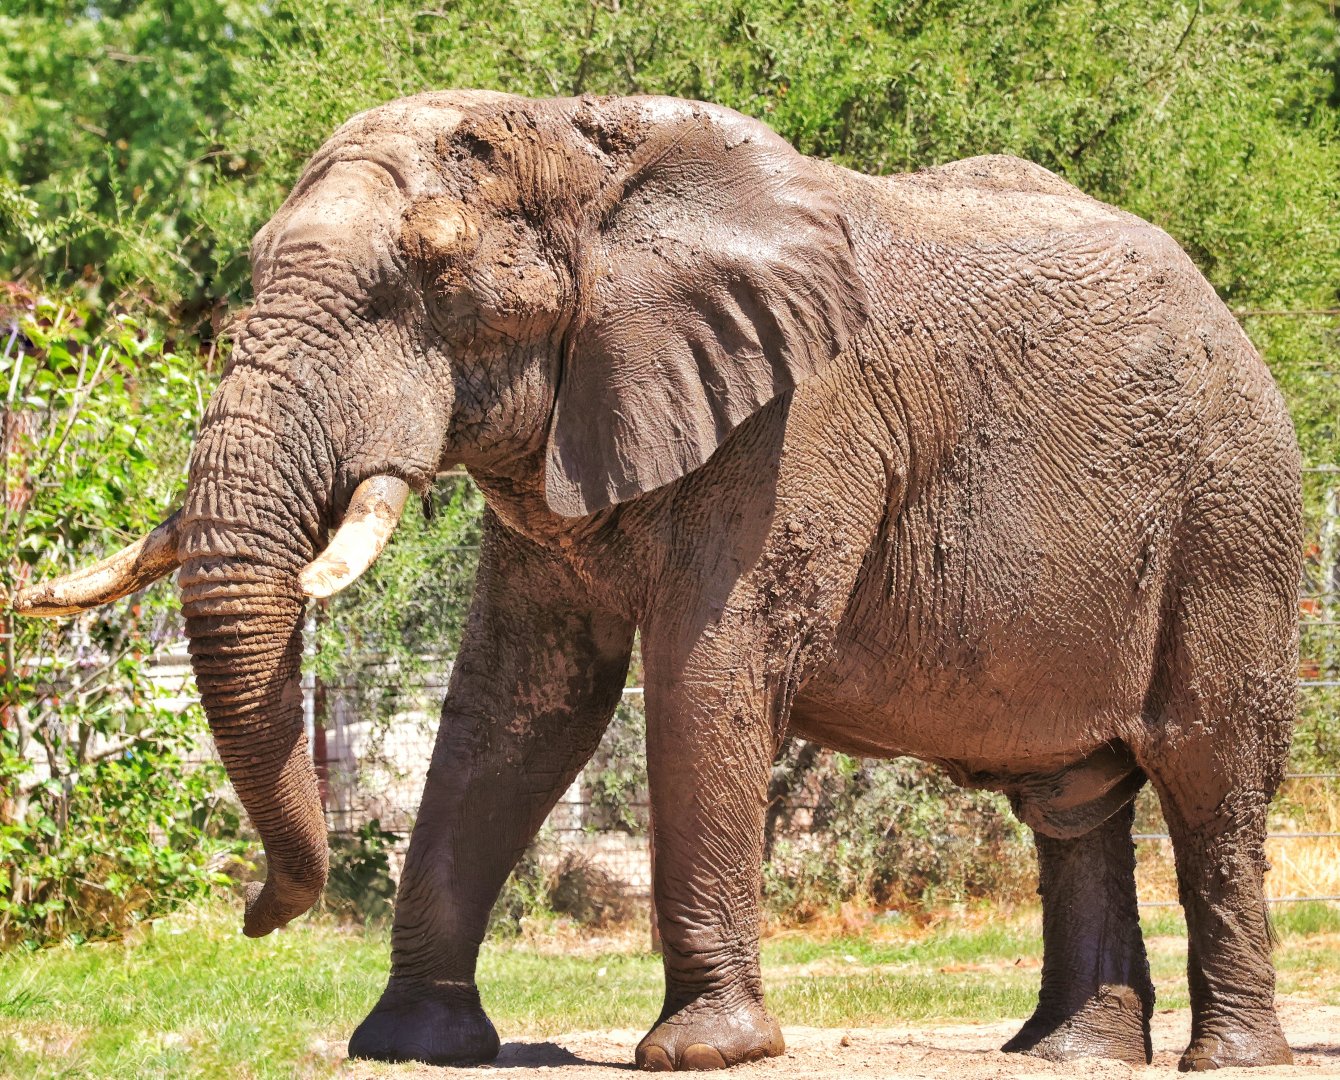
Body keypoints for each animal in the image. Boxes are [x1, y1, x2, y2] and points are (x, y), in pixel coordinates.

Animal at [15, 90, 1300, 1072]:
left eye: (429, 277)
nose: (255, 916)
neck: (584, 152)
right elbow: (515, 705)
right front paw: (412, 1042)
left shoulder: (801, 424)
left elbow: (706, 683)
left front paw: (703, 1052)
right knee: (1073, 802)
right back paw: (1068, 1054)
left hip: (1229, 509)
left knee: (1207, 770)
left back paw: (1226, 1058)